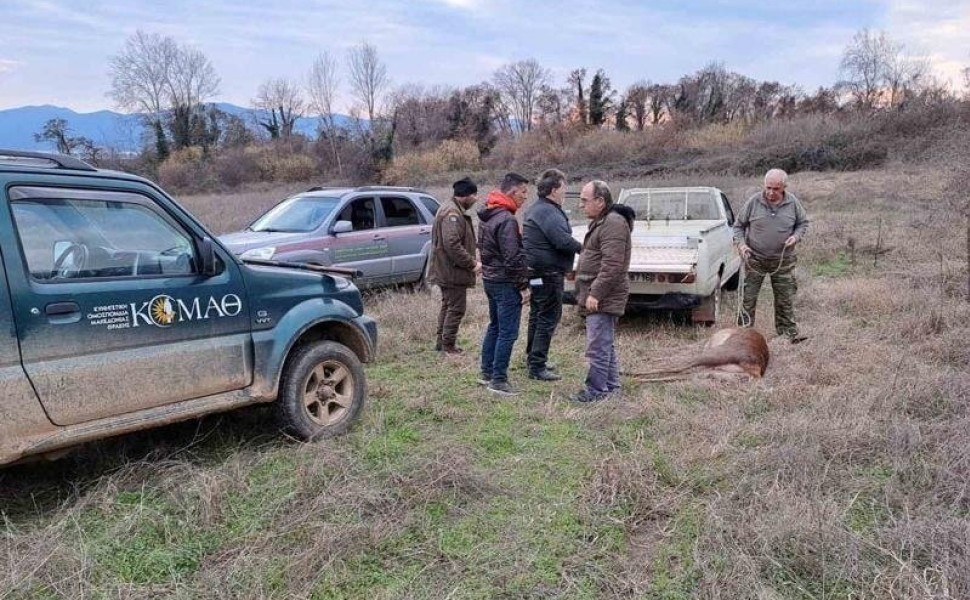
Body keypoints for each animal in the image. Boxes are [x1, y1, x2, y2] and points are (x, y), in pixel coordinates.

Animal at [624, 326, 768, 382]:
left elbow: (675, 354)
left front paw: (646, 357)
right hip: (721, 372)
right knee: (690, 373)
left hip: (720, 352)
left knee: (683, 365)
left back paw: (629, 375)